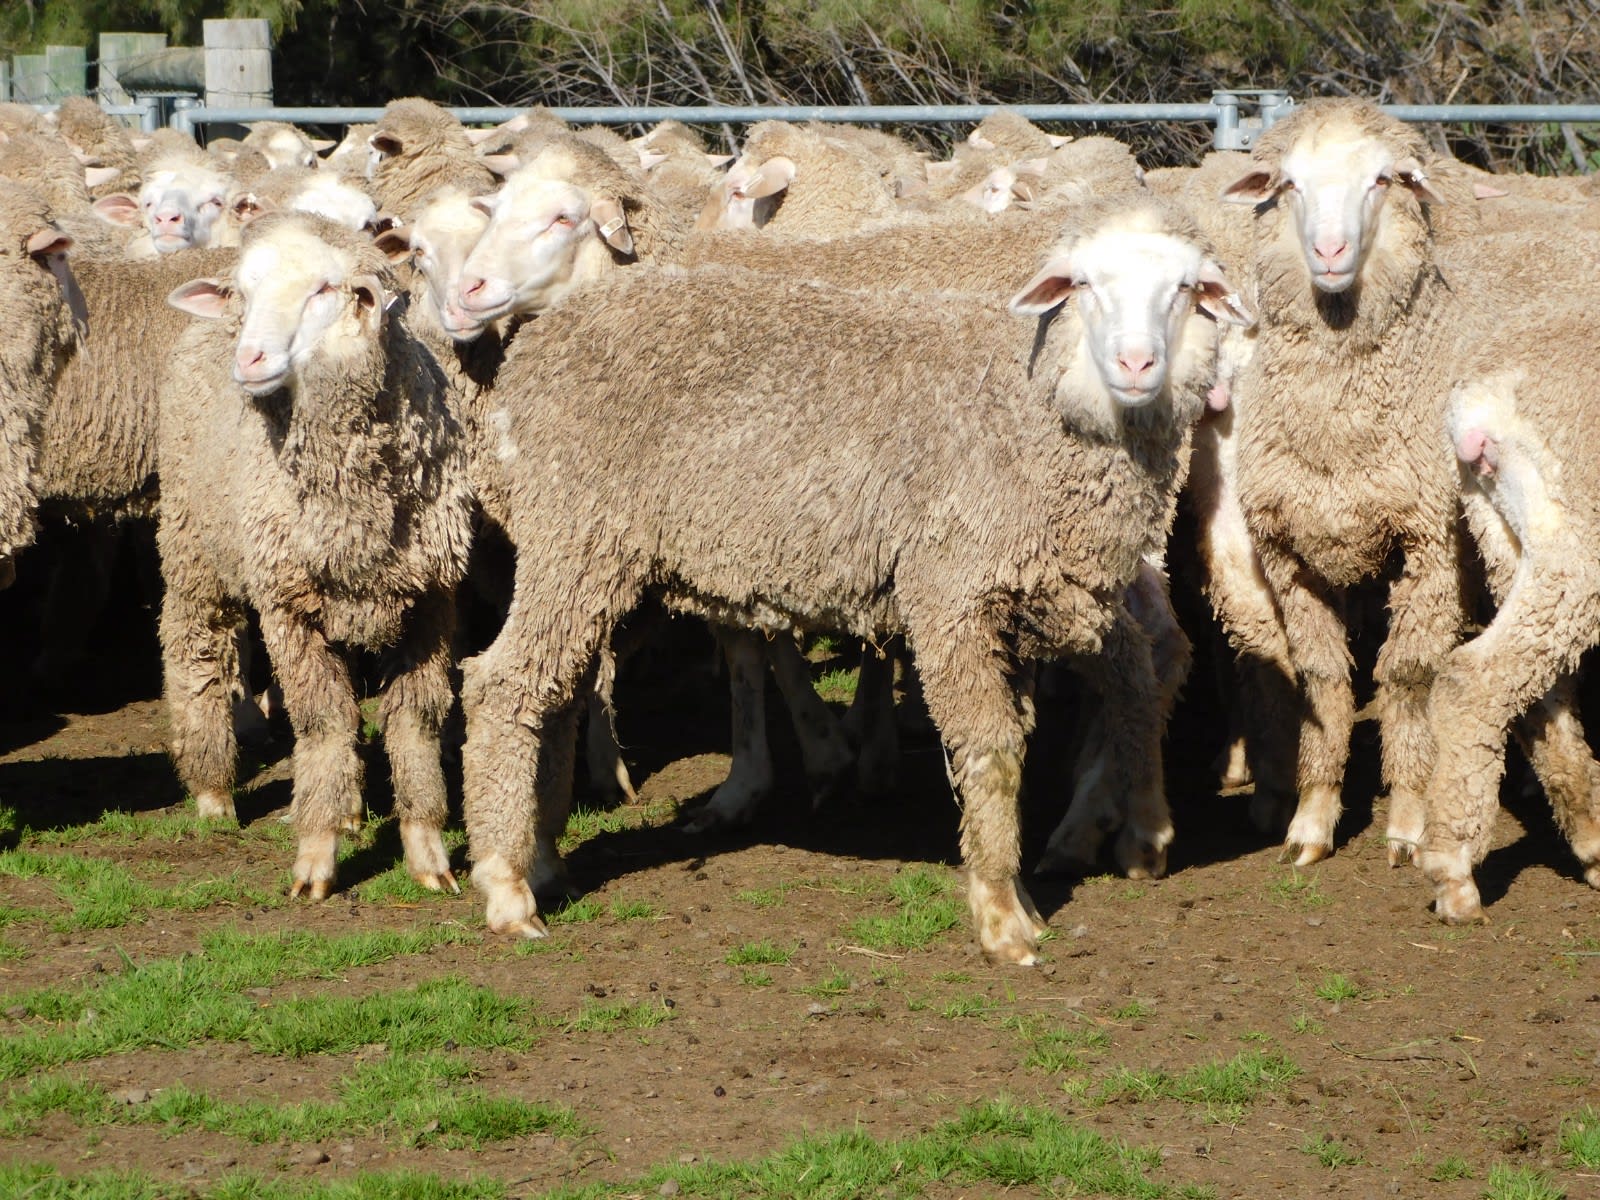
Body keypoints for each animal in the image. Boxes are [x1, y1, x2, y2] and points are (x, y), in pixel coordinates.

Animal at [158, 211, 473, 898]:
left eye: (325, 289)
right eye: (244, 293)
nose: (249, 359)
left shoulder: (432, 601)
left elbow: (415, 722)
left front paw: (427, 850)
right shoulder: (289, 605)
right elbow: (323, 723)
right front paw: (316, 857)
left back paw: (351, 810)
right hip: (194, 543)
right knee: (199, 648)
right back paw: (214, 791)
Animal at [456, 195, 1249, 964]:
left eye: (1187, 290)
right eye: (1083, 284)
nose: (1137, 363)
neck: (1033, 407)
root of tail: (536, 347)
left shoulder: (1033, 603)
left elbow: (1046, 726)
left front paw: (1038, 885)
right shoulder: (951, 592)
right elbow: (991, 747)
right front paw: (1001, 917)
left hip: (589, 556)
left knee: (554, 692)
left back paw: (543, 858)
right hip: (575, 536)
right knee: (505, 685)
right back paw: (506, 887)